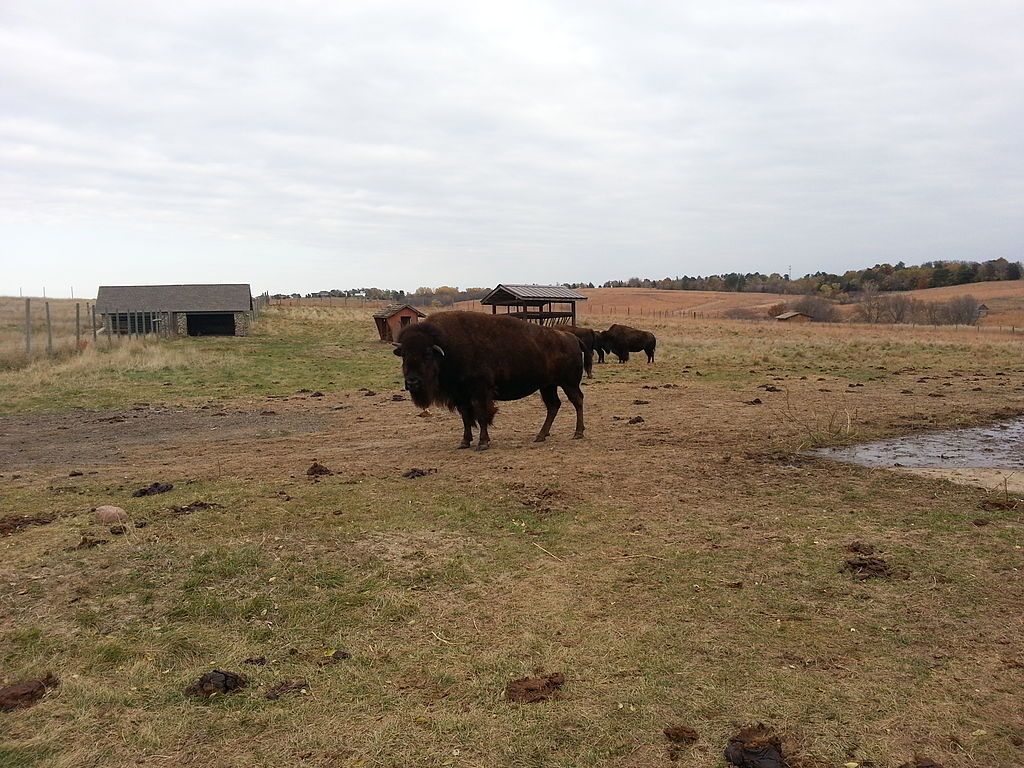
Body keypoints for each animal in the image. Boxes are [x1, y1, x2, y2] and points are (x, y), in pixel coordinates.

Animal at [394, 311, 586, 450]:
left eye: (427, 353)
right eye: (404, 355)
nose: (412, 382)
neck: (446, 348)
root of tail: (572, 337)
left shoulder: (480, 392)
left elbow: (481, 414)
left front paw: (483, 443)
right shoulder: (460, 396)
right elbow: (466, 417)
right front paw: (464, 442)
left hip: (569, 384)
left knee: (577, 401)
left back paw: (578, 433)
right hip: (547, 386)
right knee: (553, 405)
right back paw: (540, 436)